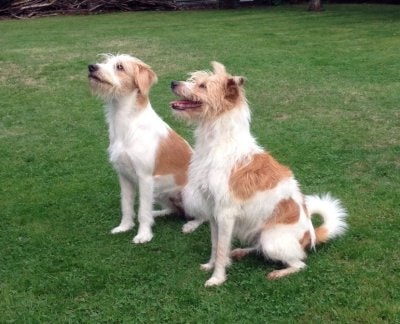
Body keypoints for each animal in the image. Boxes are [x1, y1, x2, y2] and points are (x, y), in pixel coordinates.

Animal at [88, 54, 195, 243]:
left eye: (120, 67)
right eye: (104, 62)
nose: (92, 67)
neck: (127, 123)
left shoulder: (144, 177)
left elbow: (142, 211)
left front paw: (143, 234)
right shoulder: (124, 176)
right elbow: (126, 205)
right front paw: (124, 227)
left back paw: (191, 225)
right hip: (161, 192)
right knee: (174, 210)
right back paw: (158, 213)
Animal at [170, 61, 348, 286]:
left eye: (202, 86)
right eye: (195, 81)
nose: (172, 83)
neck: (219, 143)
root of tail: (311, 237)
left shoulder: (225, 214)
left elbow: (221, 248)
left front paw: (217, 278)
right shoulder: (213, 212)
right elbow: (215, 244)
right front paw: (210, 265)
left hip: (272, 240)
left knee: (299, 263)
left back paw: (278, 272)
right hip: (259, 233)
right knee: (259, 249)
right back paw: (241, 252)